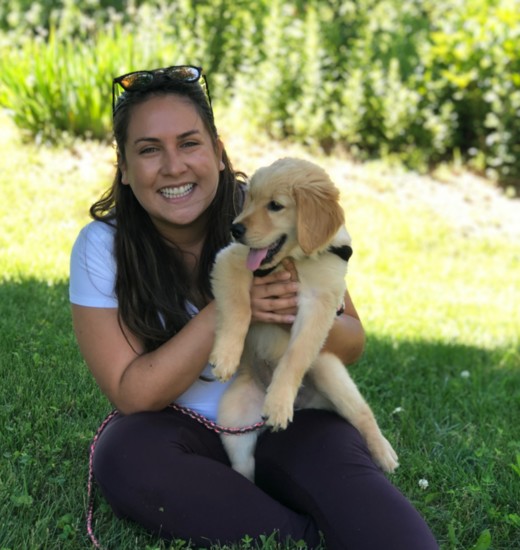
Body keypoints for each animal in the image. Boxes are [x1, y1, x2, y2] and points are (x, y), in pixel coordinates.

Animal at [209, 157, 396, 480]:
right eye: (250, 199)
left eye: (275, 206)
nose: (235, 229)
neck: (297, 258)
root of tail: (306, 403)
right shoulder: (232, 259)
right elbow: (239, 308)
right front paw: (226, 357)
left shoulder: (320, 303)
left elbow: (296, 354)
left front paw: (279, 402)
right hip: (233, 422)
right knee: (244, 465)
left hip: (329, 370)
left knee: (361, 412)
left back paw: (383, 452)